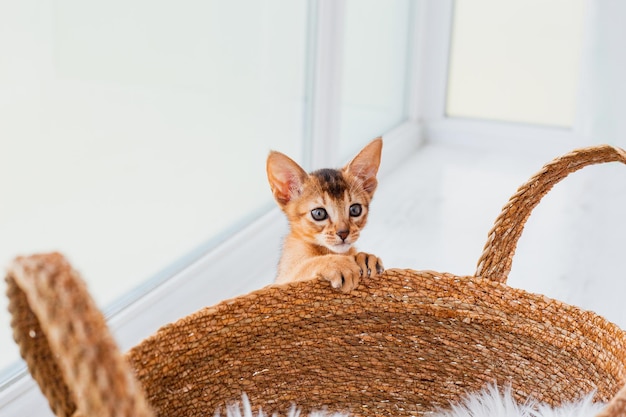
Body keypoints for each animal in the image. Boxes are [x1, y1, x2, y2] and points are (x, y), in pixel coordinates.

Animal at [266, 137, 382, 292]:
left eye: (355, 210)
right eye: (319, 213)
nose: (343, 233)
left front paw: (364, 257)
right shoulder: (280, 280)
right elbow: (303, 267)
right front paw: (337, 264)